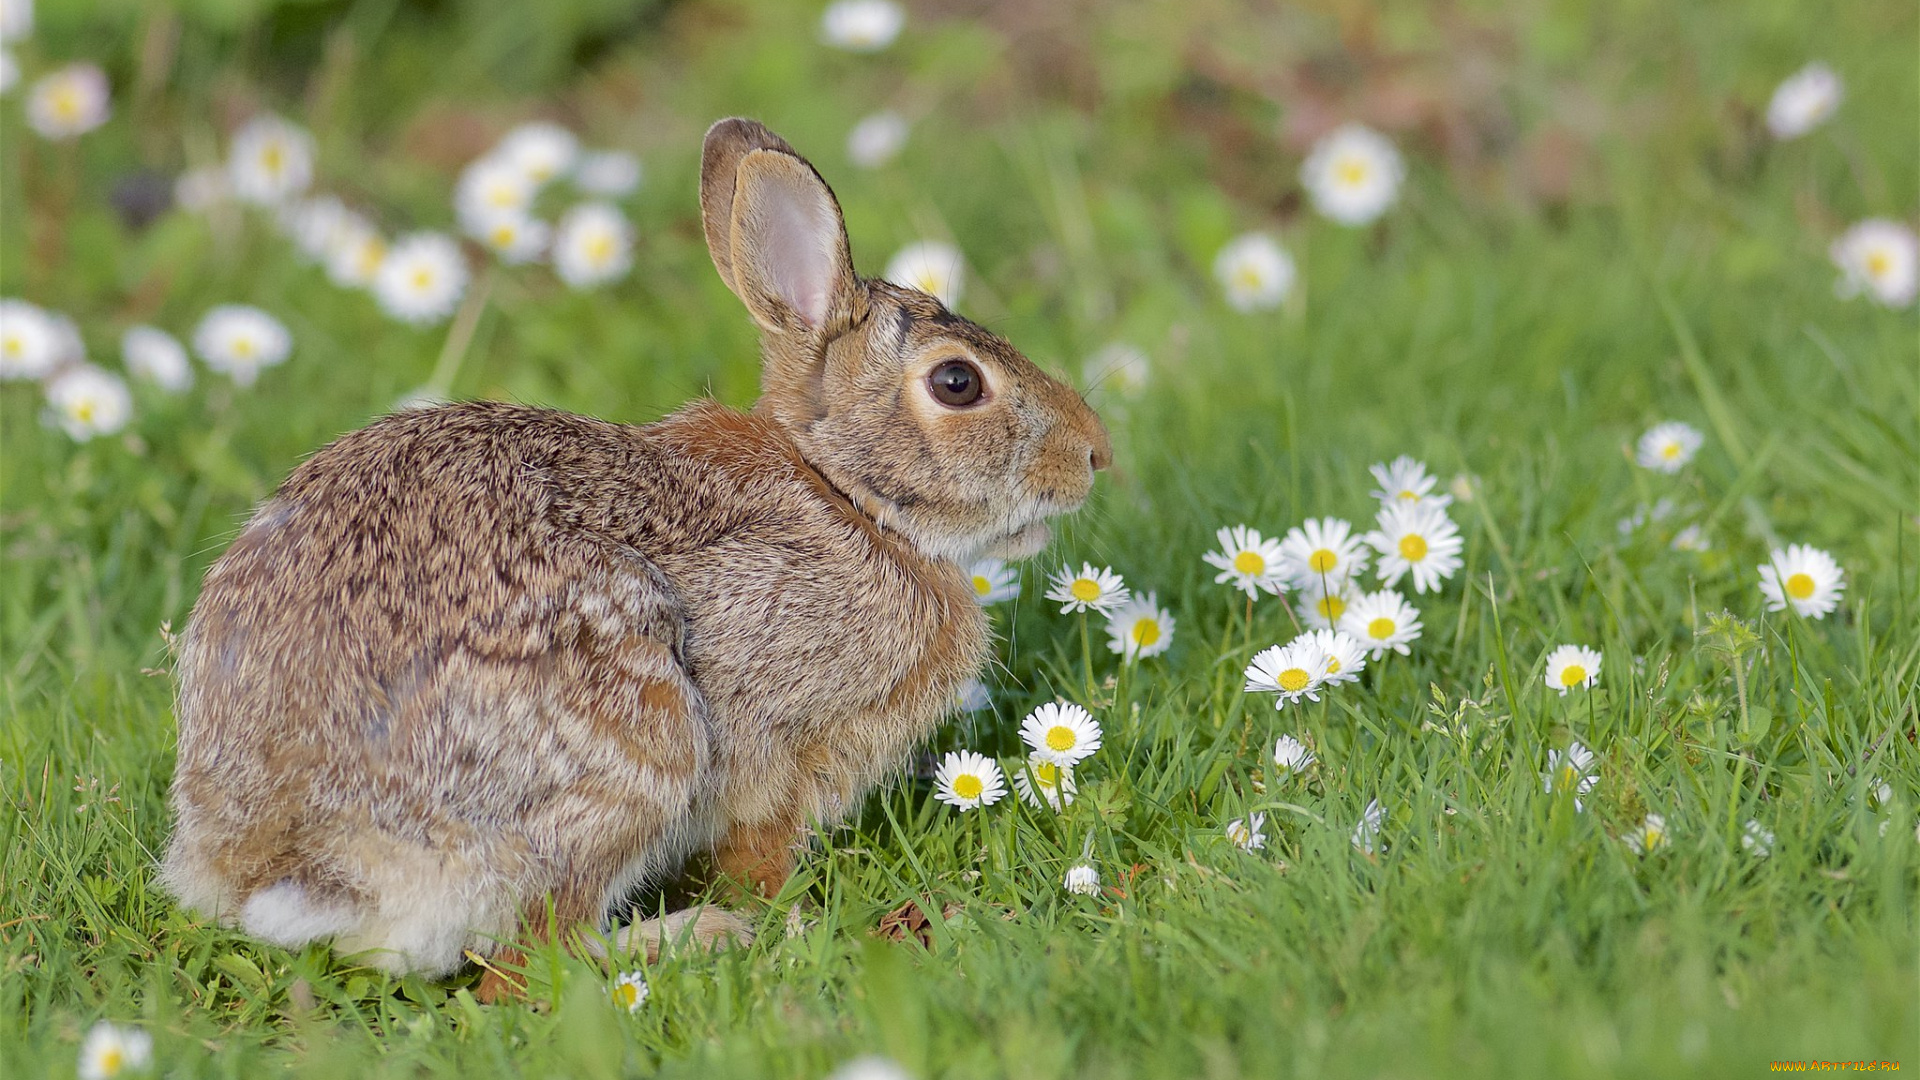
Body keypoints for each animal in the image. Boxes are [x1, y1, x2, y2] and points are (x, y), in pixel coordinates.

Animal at [163, 115, 1113, 991]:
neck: (843, 492)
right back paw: (700, 936)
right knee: (539, 953)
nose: (1096, 454)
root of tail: (288, 863)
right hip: (635, 745)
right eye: (957, 383)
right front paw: (785, 917)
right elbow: (759, 846)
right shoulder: (780, 747)